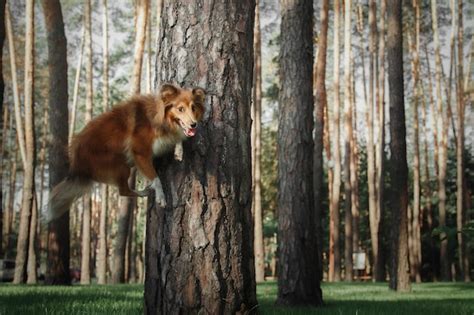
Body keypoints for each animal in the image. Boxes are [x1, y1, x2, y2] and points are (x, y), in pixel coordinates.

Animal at [45, 84, 206, 222]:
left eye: (193, 108)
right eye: (180, 109)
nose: (193, 124)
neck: (159, 119)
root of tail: (76, 163)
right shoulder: (140, 152)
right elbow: (156, 178)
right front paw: (161, 196)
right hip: (120, 165)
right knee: (123, 191)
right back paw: (143, 192)